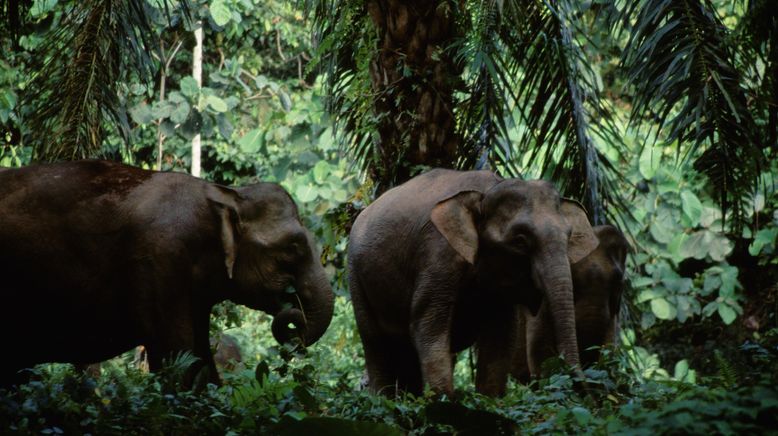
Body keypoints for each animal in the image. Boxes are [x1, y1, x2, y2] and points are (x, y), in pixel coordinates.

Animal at [0, 159, 330, 384]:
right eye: (294, 246)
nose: (294, 315)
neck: (225, 195)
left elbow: (200, 359)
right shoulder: (159, 258)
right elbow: (176, 355)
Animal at [346, 169, 596, 396]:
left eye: (569, 236)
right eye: (520, 240)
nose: (585, 392)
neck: (487, 190)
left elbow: (501, 336)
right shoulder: (438, 253)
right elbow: (428, 326)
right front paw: (446, 403)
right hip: (355, 274)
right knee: (375, 342)